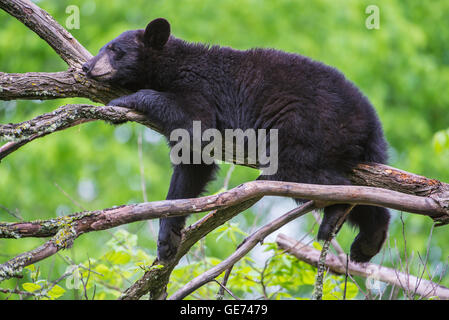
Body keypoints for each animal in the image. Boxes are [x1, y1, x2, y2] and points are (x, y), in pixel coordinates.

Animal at [83, 16, 388, 262]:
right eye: (102, 48)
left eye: (115, 50)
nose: (87, 66)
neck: (173, 65)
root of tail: (369, 120)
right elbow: (191, 166)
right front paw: (166, 239)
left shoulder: (199, 87)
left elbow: (195, 121)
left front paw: (124, 101)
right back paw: (368, 241)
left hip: (308, 125)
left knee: (300, 170)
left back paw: (337, 212)